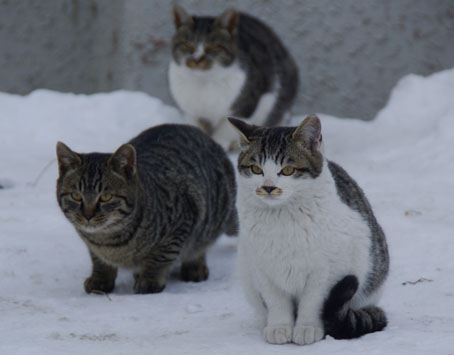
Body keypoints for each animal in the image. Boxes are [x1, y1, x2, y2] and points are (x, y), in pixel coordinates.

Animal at [56, 125, 238, 294]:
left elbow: (160, 258)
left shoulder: (180, 224)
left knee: (201, 243)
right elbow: (99, 261)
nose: (87, 215)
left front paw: (150, 280)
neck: (108, 242)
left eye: (106, 197)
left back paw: (195, 267)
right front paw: (100, 279)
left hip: (211, 216)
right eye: (76, 196)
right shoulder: (94, 248)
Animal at [168, 4, 300, 152]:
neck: (203, 83)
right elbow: (196, 127)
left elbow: (226, 129)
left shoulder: (246, 106)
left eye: (214, 47)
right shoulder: (190, 112)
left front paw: (220, 143)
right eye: (187, 45)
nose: (197, 59)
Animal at [229, 115, 388, 346]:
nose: (268, 187)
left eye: (287, 170)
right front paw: (279, 327)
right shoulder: (261, 266)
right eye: (256, 169)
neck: (282, 219)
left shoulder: (327, 271)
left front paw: (307, 328)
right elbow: (276, 300)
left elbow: (313, 301)